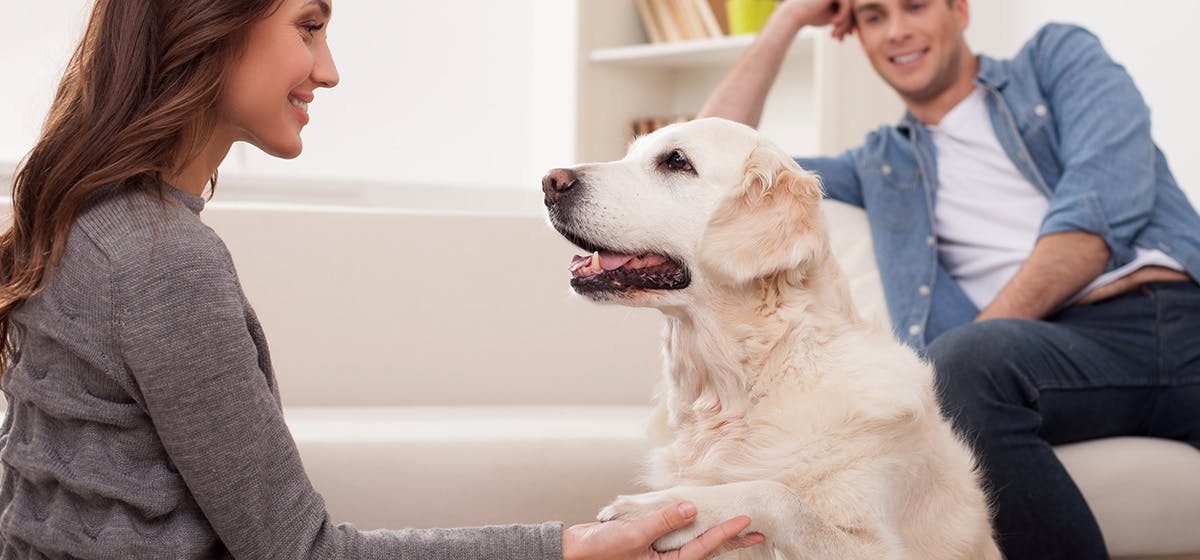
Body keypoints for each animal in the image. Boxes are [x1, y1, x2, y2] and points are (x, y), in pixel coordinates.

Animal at [544, 119, 1003, 560]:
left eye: (676, 161)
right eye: (630, 154)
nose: (550, 181)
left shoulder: (877, 545)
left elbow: (775, 493)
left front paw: (660, 507)